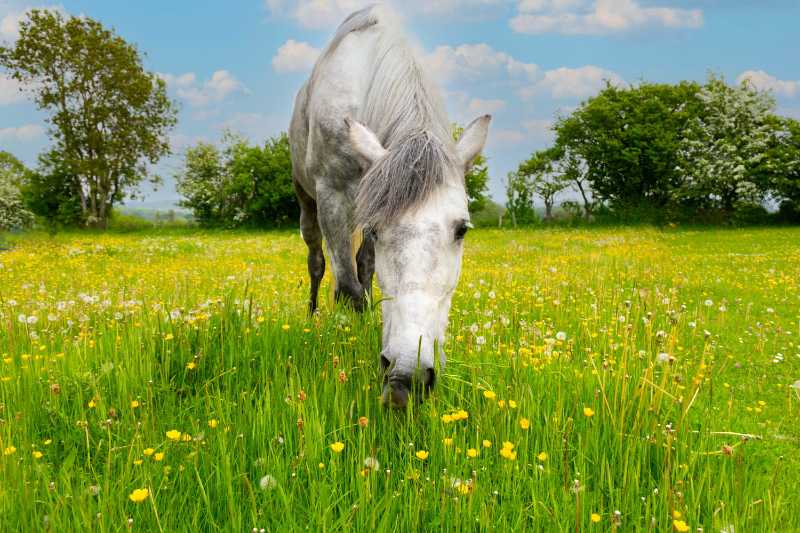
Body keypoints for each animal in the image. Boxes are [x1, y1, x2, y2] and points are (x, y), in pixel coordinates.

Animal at [288, 4, 488, 408]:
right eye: (380, 230)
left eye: (462, 229)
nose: (407, 378)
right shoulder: (333, 196)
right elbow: (347, 290)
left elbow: (364, 277)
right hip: (307, 202)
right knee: (318, 262)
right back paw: (313, 314)